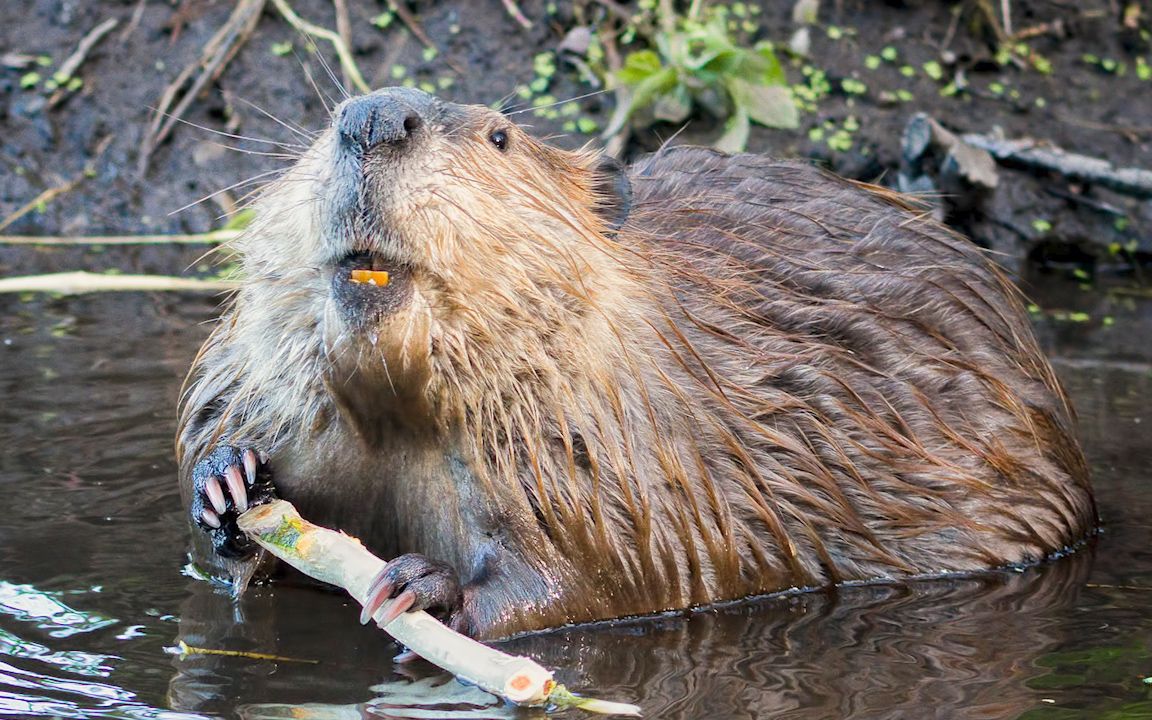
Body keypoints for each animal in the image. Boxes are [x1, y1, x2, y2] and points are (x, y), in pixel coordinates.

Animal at [175, 86, 1092, 635]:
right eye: (325, 124)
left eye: (500, 135)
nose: (373, 117)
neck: (401, 411)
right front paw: (230, 483)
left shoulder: (618, 465)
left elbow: (598, 580)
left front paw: (422, 586)